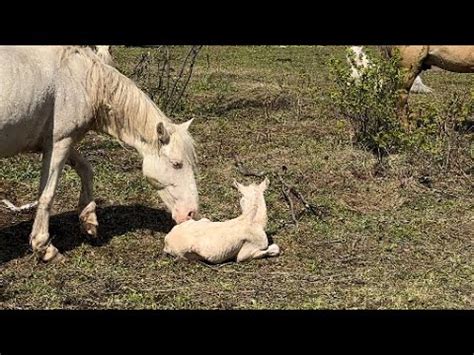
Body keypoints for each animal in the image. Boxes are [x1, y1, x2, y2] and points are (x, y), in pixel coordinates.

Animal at [0, 46, 198, 262]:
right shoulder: (59, 143)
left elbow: (86, 169)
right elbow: (47, 195)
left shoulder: (60, 143)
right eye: (176, 164)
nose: (191, 213)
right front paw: (45, 248)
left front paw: (88, 221)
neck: (82, 77)